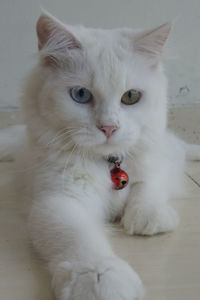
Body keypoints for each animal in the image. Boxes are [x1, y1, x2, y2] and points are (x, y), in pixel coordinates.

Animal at [2, 12, 193, 300]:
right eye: (81, 94)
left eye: (131, 96)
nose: (109, 128)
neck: (109, 163)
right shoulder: (59, 201)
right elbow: (79, 239)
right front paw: (99, 277)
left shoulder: (156, 163)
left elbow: (148, 186)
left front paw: (148, 216)